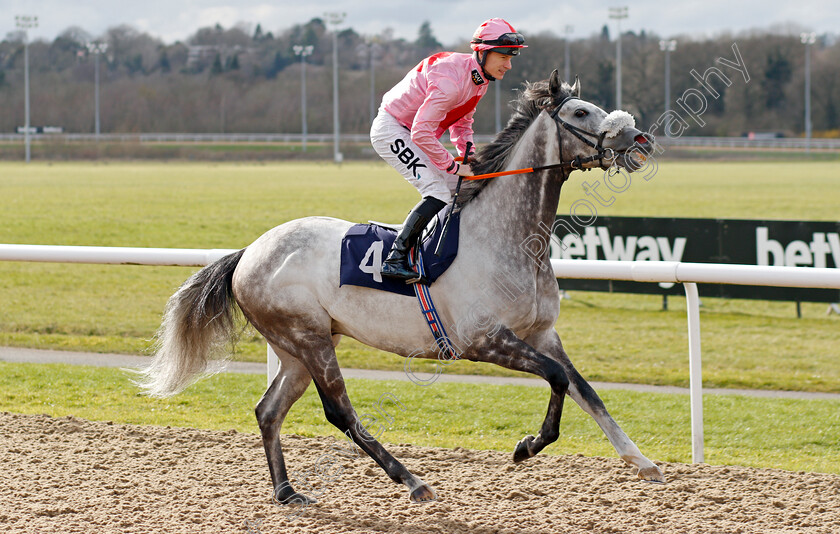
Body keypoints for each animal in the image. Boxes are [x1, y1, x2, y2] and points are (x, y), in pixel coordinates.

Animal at [136, 72, 664, 510]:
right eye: (580, 112)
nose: (640, 140)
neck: (506, 237)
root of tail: (249, 252)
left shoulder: (541, 333)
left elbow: (585, 391)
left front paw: (643, 462)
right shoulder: (483, 341)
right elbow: (555, 379)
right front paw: (526, 446)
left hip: (297, 348)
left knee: (268, 410)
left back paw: (287, 491)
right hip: (309, 337)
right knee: (339, 412)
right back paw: (412, 480)